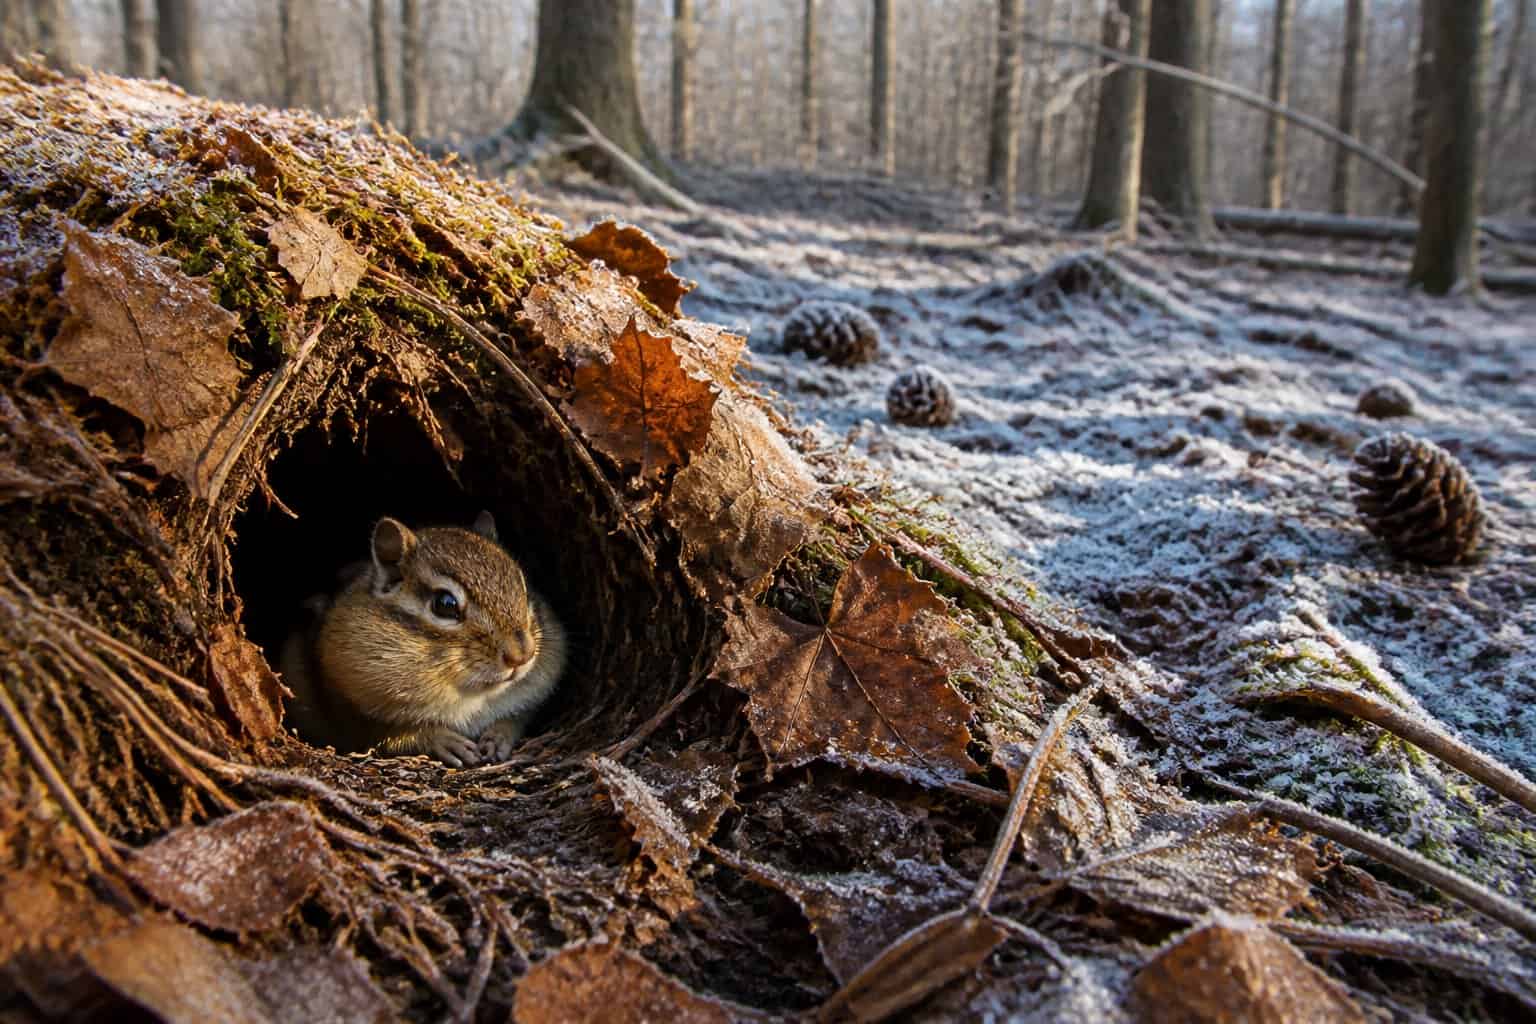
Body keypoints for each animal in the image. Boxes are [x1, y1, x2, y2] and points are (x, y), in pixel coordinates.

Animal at [279, 511, 566, 768]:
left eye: (524, 587)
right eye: (445, 604)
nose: (523, 654)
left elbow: (519, 716)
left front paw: (500, 735)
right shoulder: (348, 711)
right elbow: (386, 735)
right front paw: (440, 739)